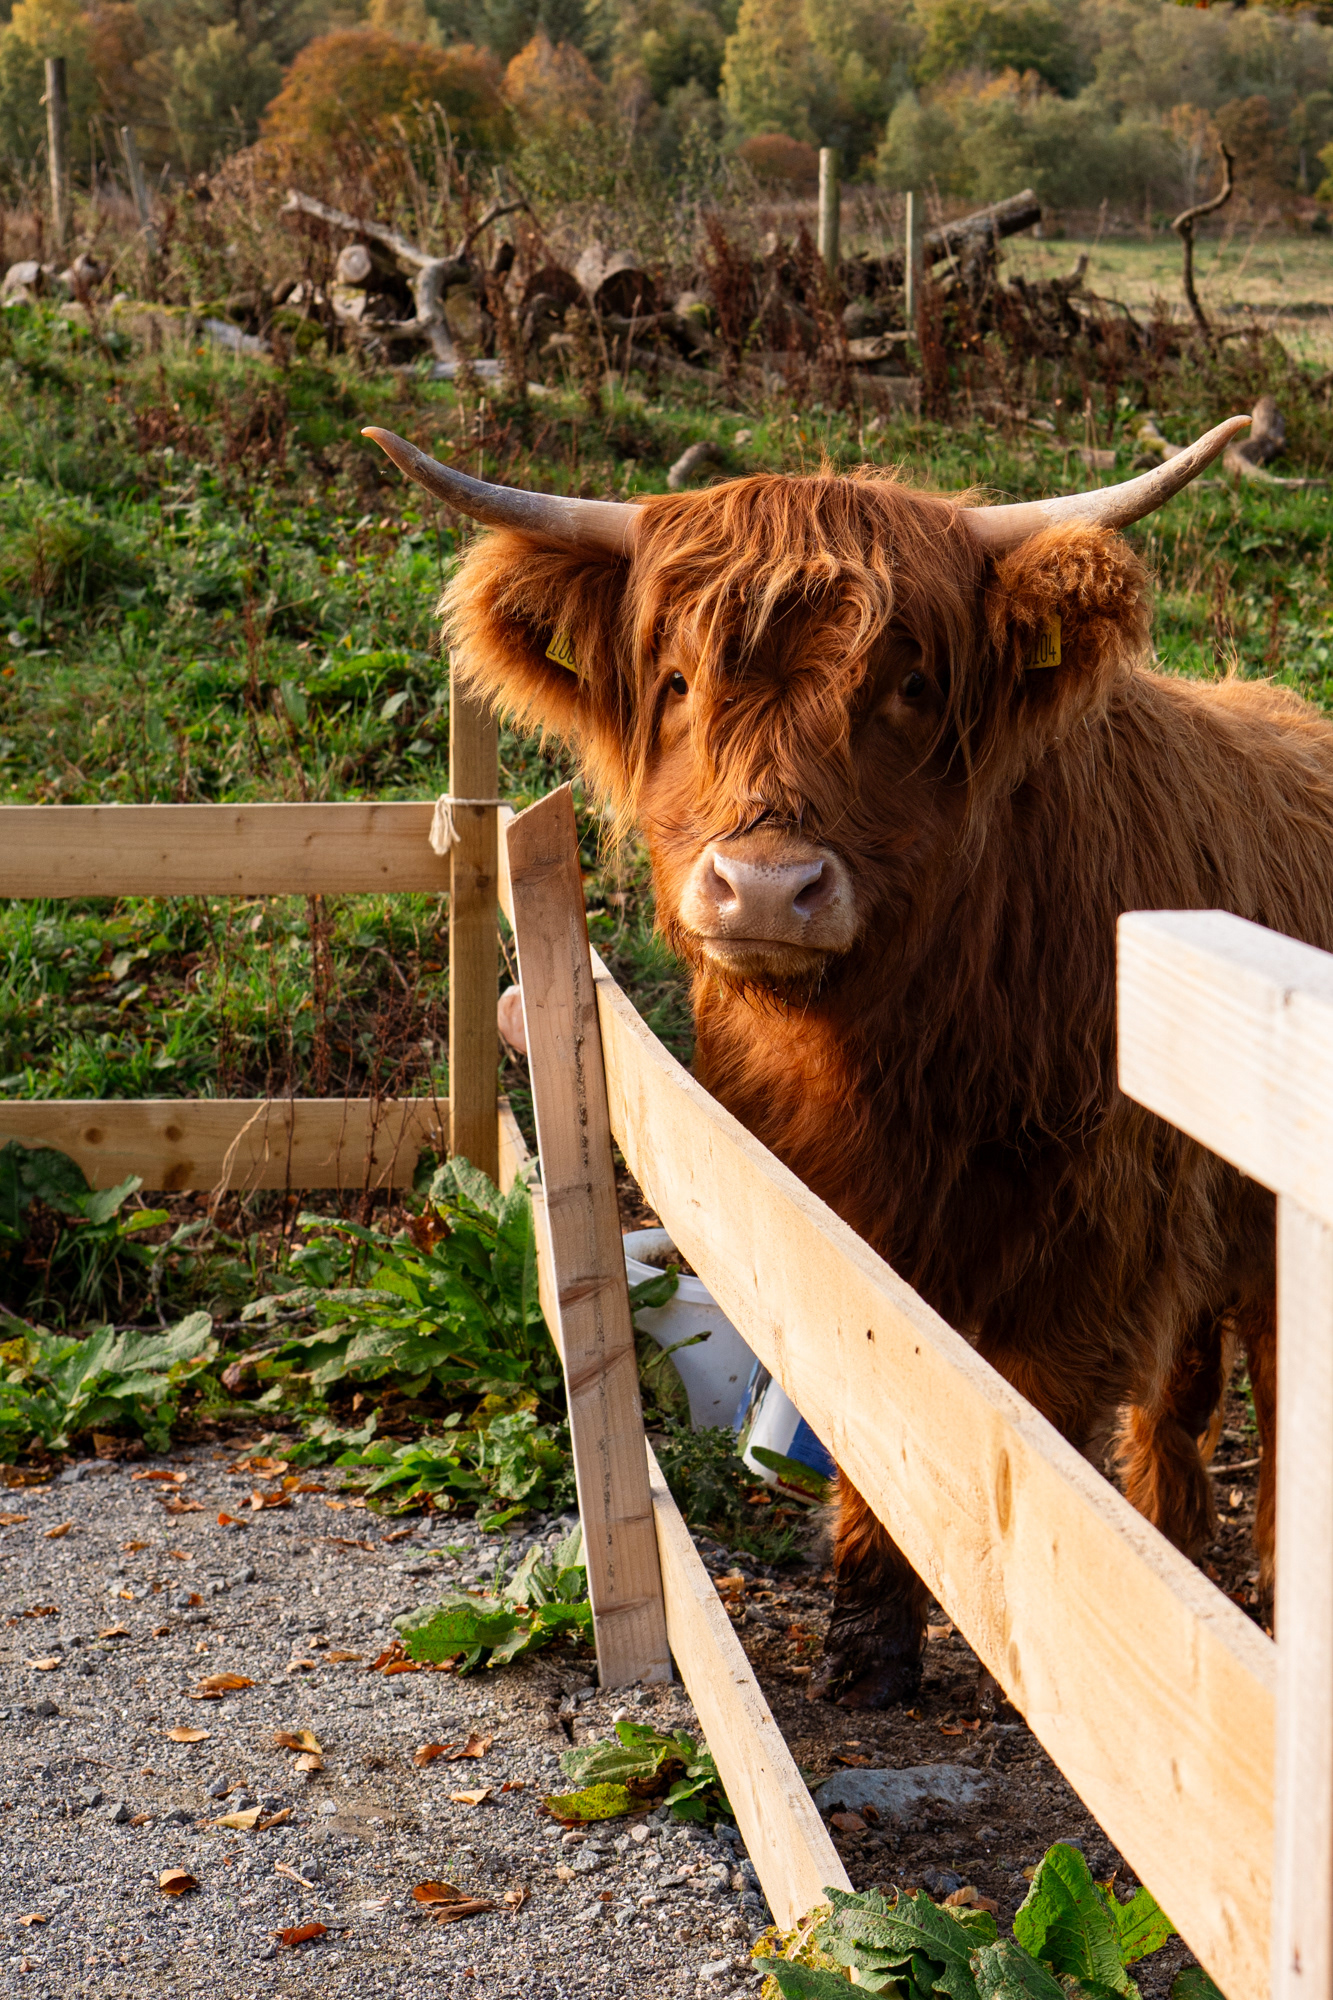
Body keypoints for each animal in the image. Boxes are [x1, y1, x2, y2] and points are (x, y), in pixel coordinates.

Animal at [365, 412, 1322, 1707]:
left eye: (907, 686)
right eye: (677, 682)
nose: (767, 885)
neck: (896, 1062)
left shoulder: (1073, 1249)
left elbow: (1011, 1460)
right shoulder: (839, 1227)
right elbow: (874, 1416)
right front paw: (867, 1637)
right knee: (1181, 1387)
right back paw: (1175, 1534)